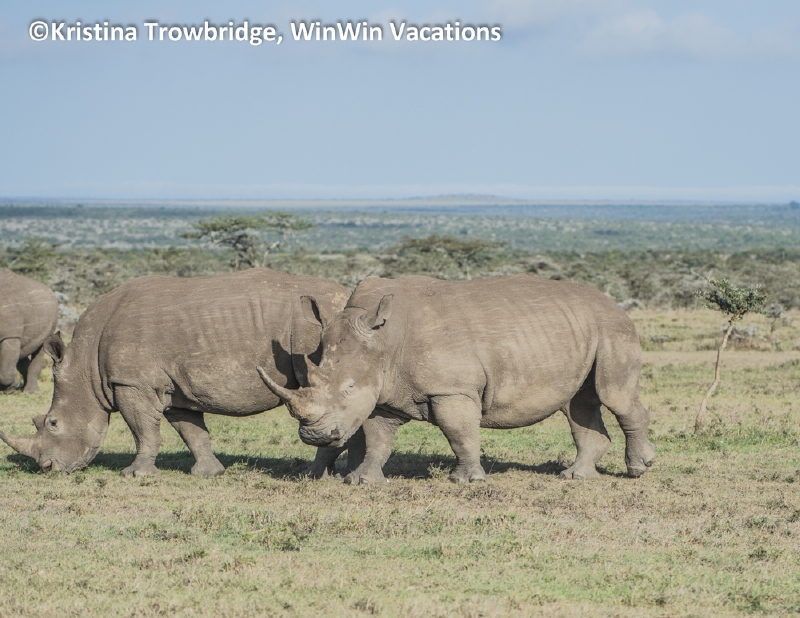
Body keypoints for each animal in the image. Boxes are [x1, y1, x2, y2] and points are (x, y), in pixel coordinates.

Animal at [0, 269, 363, 477]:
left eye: (52, 424)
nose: (48, 468)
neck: (85, 367)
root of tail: (347, 295)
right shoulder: (173, 387)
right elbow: (191, 431)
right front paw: (209, 473)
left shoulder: (131, 383)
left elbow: (144, 431)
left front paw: (136, 475)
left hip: (318, 328)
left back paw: (312, 473)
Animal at [258, 274, 656, 484]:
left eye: (348, 388)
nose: (315, 436)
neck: (385, 341)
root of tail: (615, 303)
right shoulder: (385, 392)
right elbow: (378, 439)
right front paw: (363, 481)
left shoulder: (452, 390)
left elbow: (459, 433)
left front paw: (467, 481)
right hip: (582, 331)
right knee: (578, 405)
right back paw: (576, 477)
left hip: (612, 329)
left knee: (614, 395)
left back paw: (638, 470)